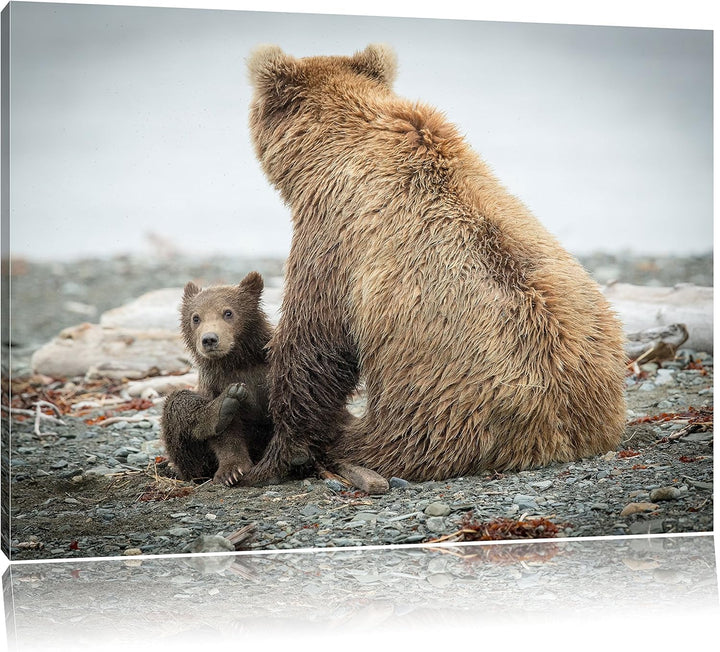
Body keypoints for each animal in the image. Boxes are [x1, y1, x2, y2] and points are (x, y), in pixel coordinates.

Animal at [160, 271, 274, 486]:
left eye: (228, 312)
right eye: (196, 318)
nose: (209, 339)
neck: (237, 361)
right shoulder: (215, 383)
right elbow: (226, 436)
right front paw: (231, 471)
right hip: (193, 463)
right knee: (178, 402)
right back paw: (221, 407)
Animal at [241, 43, 627, 487]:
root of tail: (561, 435)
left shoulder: (333, 232)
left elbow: (314, 342)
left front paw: (274, 457)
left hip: (438, 409)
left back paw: (343, 445)